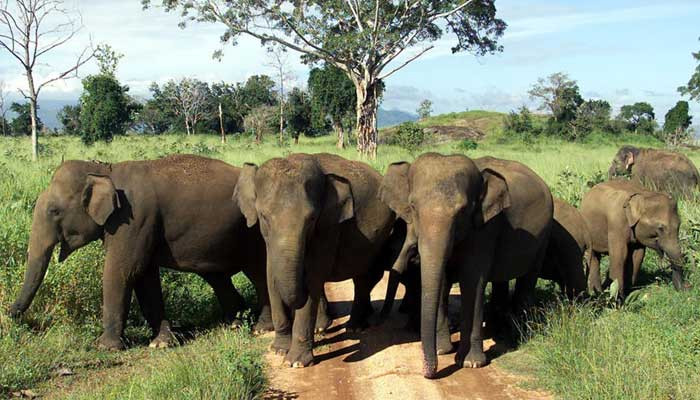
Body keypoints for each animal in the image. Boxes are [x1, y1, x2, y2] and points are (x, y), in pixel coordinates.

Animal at [8, 155, 278, 348]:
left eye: (54, 211)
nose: (10, 315)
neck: (105, 170)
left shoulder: (134, 219)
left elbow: (122, 271)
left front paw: (105, 347)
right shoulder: (137, 228)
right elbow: (145, 277)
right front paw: (162, 343)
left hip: (253, 234)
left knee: (257, 272)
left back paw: (262, 328)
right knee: (217, 276)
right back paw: (234, 324)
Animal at [234, 153, 396, 368]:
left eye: (311, 219)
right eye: (263, 217)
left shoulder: (328, 226)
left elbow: (313, 277)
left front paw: (296, 362)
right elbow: (271, 277)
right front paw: (278, 350)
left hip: (379, 238)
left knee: (362, 278)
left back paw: (355, 327)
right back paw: (324, 327)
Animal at [380, 153, 556, 378]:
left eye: (463, 211)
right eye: (412, 206)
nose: (429, 372)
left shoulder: (484, 228)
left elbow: (473, 281)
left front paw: (471, 363)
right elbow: (443, 280)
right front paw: (442, 350)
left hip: (544, 235)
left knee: (528, 279)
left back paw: (518, 335)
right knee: (501, 280)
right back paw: (496, 329)